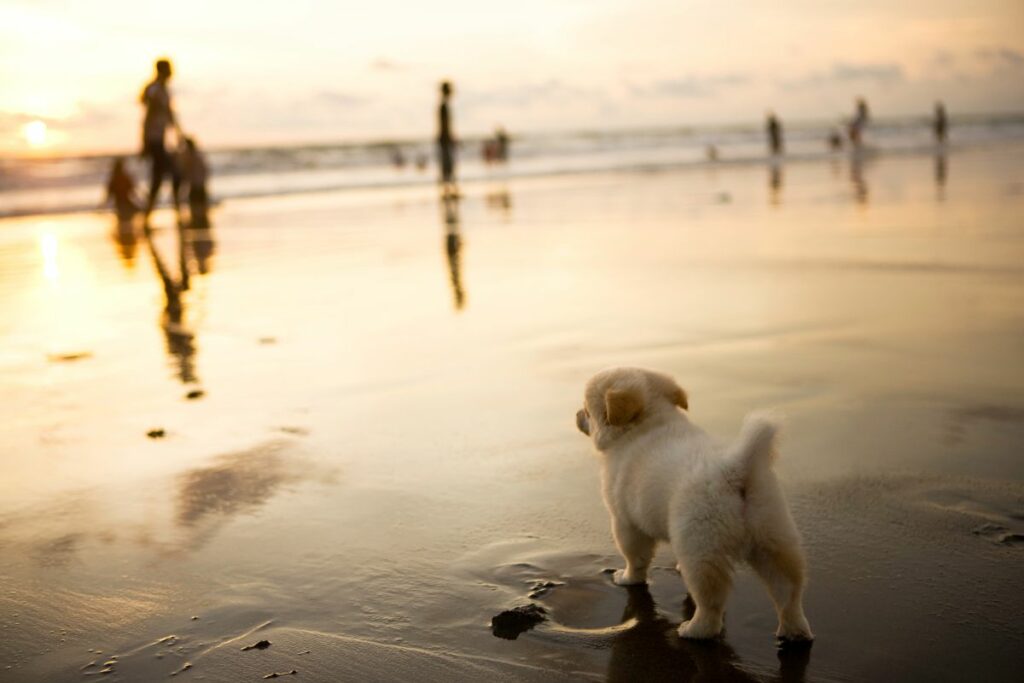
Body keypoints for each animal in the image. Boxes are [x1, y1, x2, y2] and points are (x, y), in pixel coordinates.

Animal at [581, 368, 811, 643]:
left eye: (586, 411)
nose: (576, 415)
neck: (650, 422)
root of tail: (735, 470)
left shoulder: (626, 523)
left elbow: (635, 558)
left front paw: (627, 579)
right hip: (773, 537)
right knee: (789, 591)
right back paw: (795, 631)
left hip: (701, 546)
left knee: (710, 601)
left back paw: (694, 630)